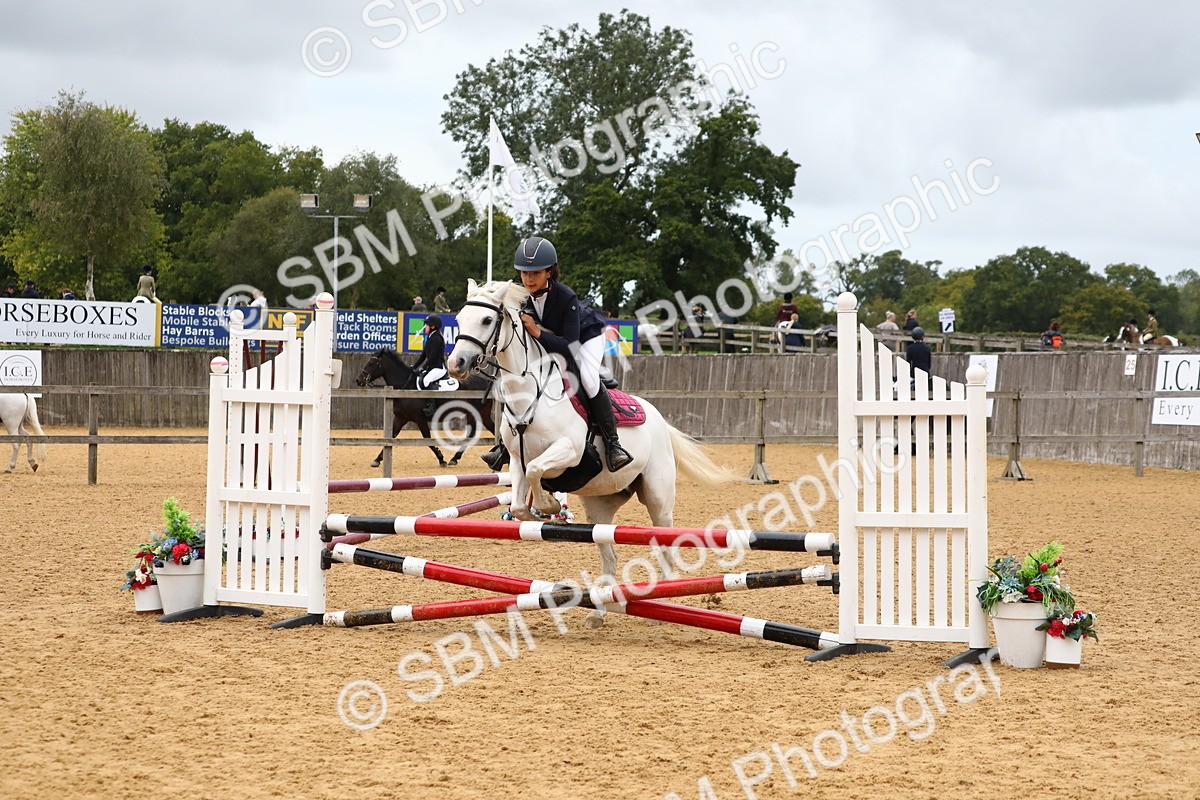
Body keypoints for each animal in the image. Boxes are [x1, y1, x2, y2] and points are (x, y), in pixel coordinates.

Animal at [356, 348, 495, 468]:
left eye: (371, 363)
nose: (358, 380)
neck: (405, 386)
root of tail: (487, 383)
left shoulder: (420, 419)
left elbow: (427, 439)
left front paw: (441, 459)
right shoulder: (400, 418)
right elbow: (392, 436)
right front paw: (377, 459)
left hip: (475, 413)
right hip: (481, 414)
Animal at [446, 279, 735, 623]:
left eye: (487, 320)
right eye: (459, 318)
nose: (456, 364)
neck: (529, 394)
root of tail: (660, 421)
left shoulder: (569, 451)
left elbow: (538, 472)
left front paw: (548, 504)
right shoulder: (517, 460)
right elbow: (518, 503)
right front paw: (546, 512)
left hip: (658, 496)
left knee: (664, 543)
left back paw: (666, 600)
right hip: (601, 503)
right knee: (608, 550)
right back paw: (600, 610)